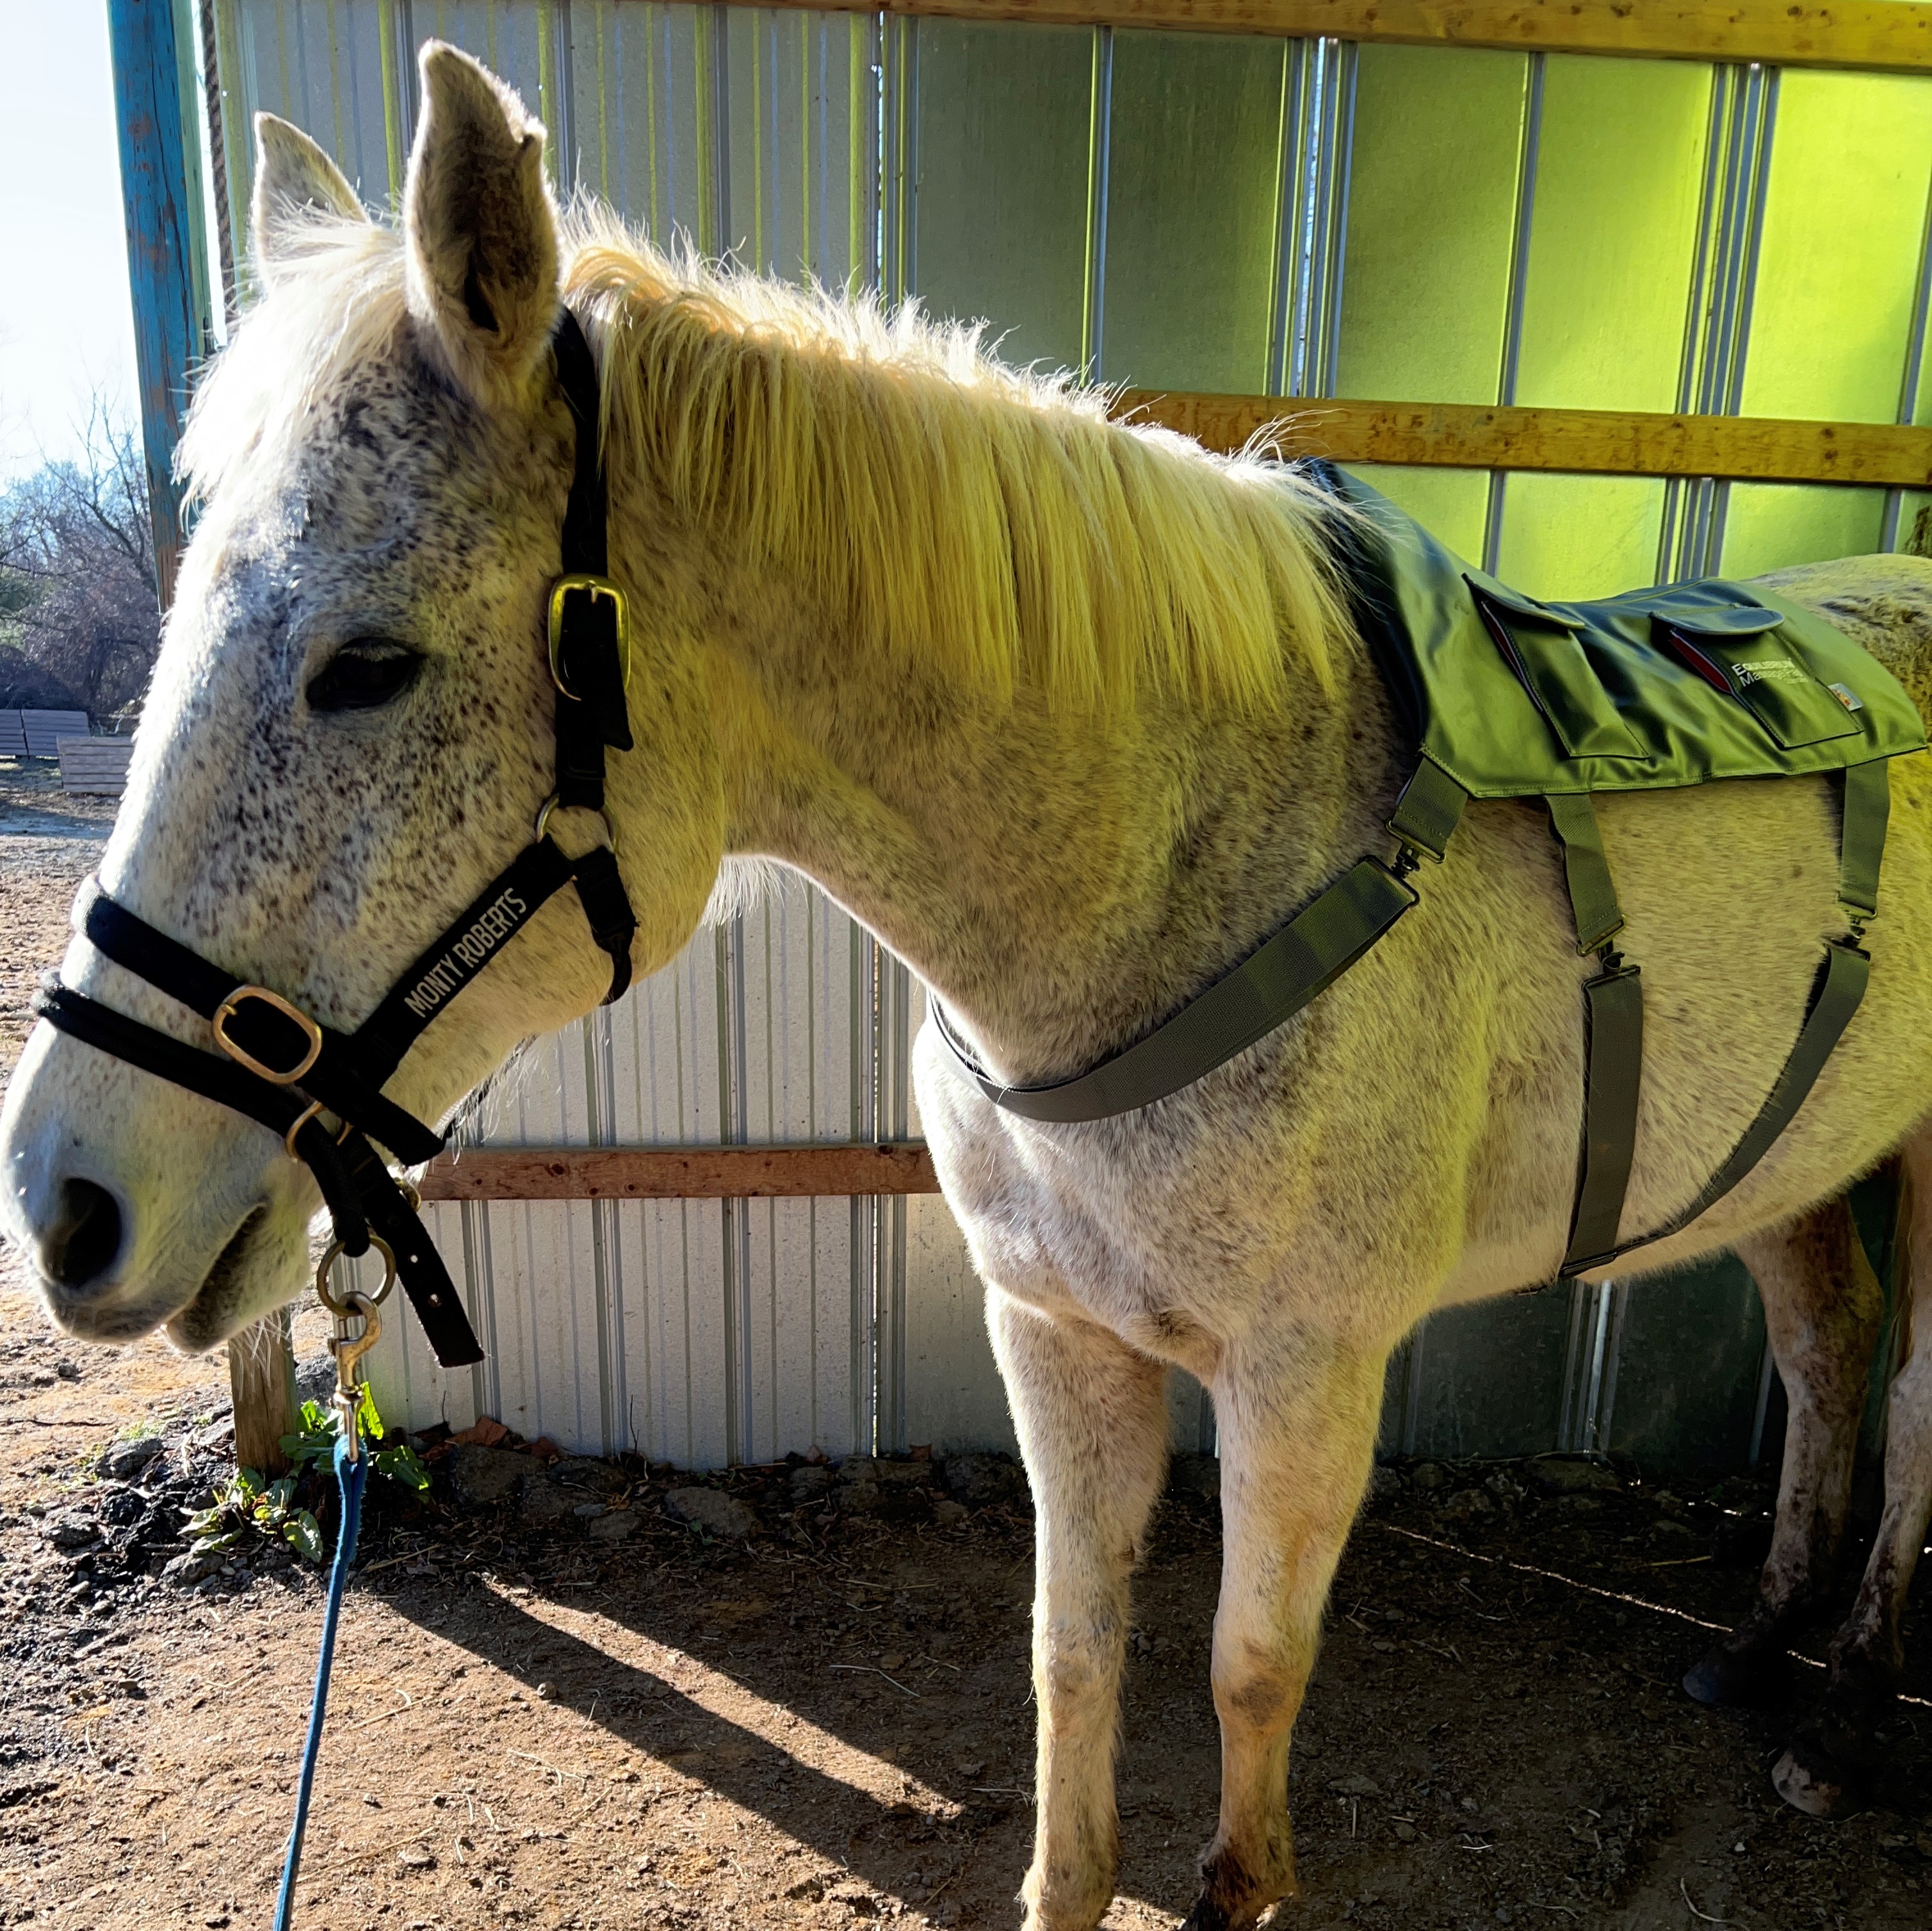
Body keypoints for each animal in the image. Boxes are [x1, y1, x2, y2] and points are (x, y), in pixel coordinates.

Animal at [3, 45, 1932, 1931]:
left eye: (368, 664)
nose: (69, 1205)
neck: (1184, 880)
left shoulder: (1305, 1377)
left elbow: (1249, 1670)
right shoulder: (1053, 1332)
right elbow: (1073, 1655)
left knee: (1904, 1407)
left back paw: (1842, 1719)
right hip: (1800, 1161)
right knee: (1825, 1346)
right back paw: (1759, 1644)